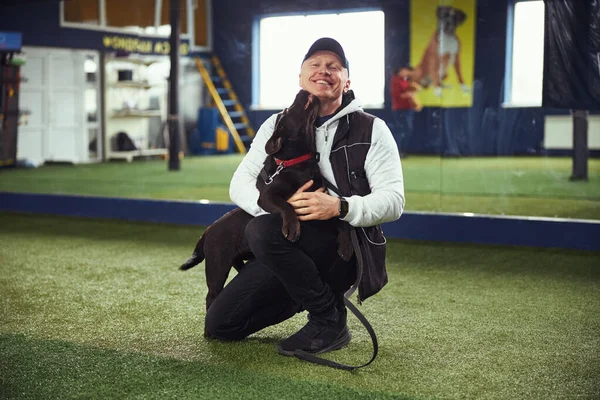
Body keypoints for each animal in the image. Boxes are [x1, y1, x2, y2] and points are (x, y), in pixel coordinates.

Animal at [180, 89, 354, 324]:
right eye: (288, 110)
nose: (302, 91)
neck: (297, 162)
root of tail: (207, 232)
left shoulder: (321, 201)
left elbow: (341, 220)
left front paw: (345, 246)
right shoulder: (267, 197)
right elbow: (286, 206)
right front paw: (292, 228)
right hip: (217, 268)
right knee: (211, 297)